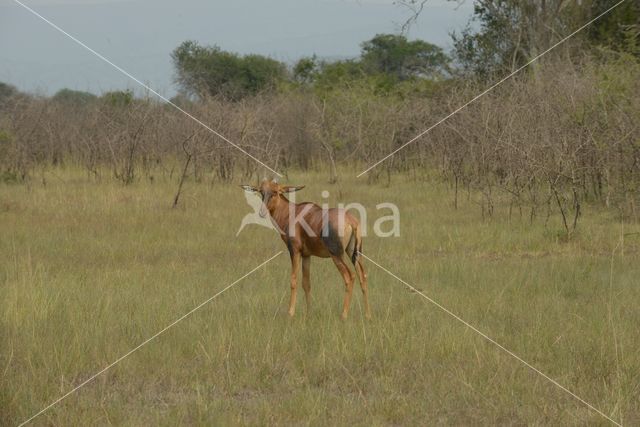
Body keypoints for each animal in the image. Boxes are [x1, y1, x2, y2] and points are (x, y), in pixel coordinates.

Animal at [240, 178, 370, 320]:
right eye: (261, 192)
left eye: (275, 192)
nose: (262, 213)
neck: (292, 213)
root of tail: (351, 221)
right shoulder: (307, 255)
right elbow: (306, 283)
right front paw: (309, 313)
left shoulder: (295, 251)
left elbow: (294, 280)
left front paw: (290, 313)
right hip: (354, 253)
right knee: (362, 276)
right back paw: (367, 315)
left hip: (336, 255)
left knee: (349, 277)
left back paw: (344, 315)